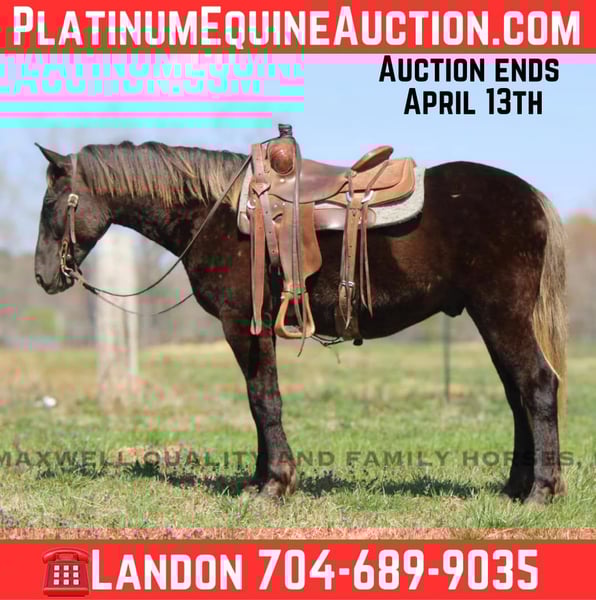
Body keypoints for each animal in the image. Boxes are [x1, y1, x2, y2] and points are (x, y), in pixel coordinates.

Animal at [33, 138, 567, 503]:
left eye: (50, 205)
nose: (42, 276)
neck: (219, 212)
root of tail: (531, 195)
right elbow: (257, 402)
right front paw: (260, 478)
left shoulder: (242, 324)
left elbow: (263, 399)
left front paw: (276, 483)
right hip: (491, 318)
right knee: (517, 395)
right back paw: (515, 487)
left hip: (502, 314)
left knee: (537, 386)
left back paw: (541, 490)